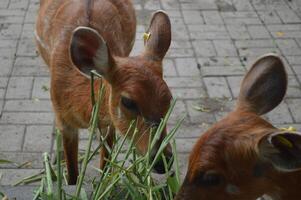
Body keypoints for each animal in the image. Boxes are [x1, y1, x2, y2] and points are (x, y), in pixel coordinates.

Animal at [34, 0, 172, 184]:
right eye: (128, 101)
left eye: (169, 99)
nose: (163, 162)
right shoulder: (65, 120)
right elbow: (72, 173)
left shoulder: (109, 124)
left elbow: (105, 164)